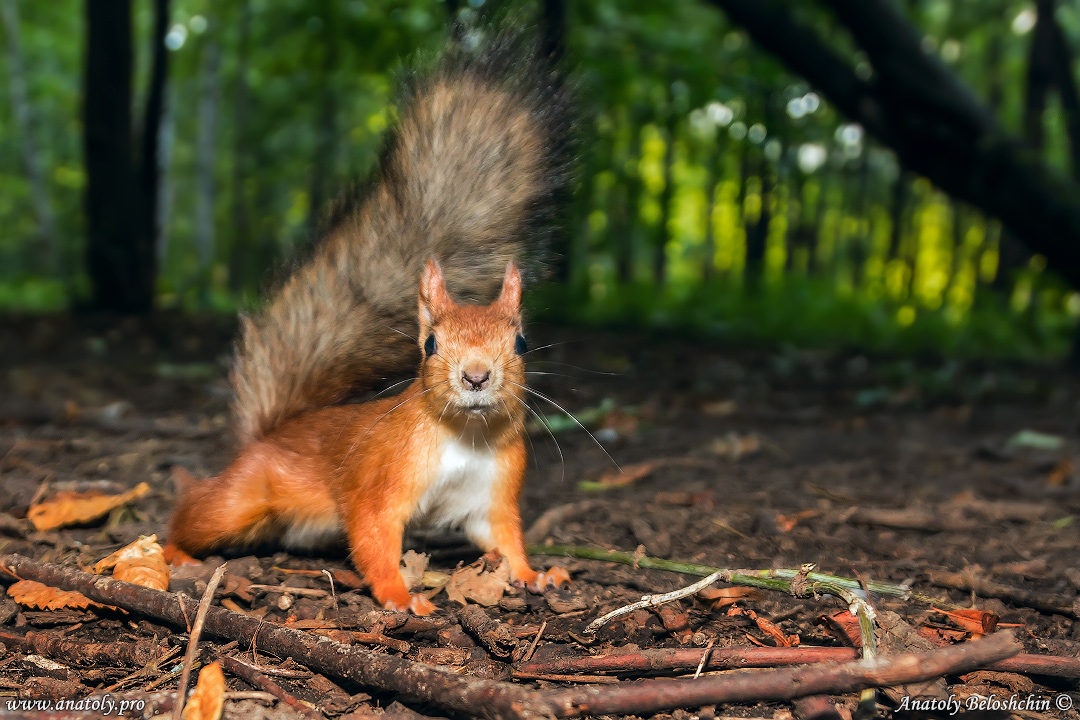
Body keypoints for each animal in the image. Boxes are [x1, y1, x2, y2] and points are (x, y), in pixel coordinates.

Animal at [166, 30, 573, 615]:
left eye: (519, 342)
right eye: (430, 344)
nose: (476, 376)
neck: (465, 437)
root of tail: (267, 437)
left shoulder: (492, 495)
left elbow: (505, 539)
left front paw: (536, 575)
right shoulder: (381, 479)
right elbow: (374, 533)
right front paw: (400, 595)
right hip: (237, 499)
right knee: (193, 510)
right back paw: (173, 552)